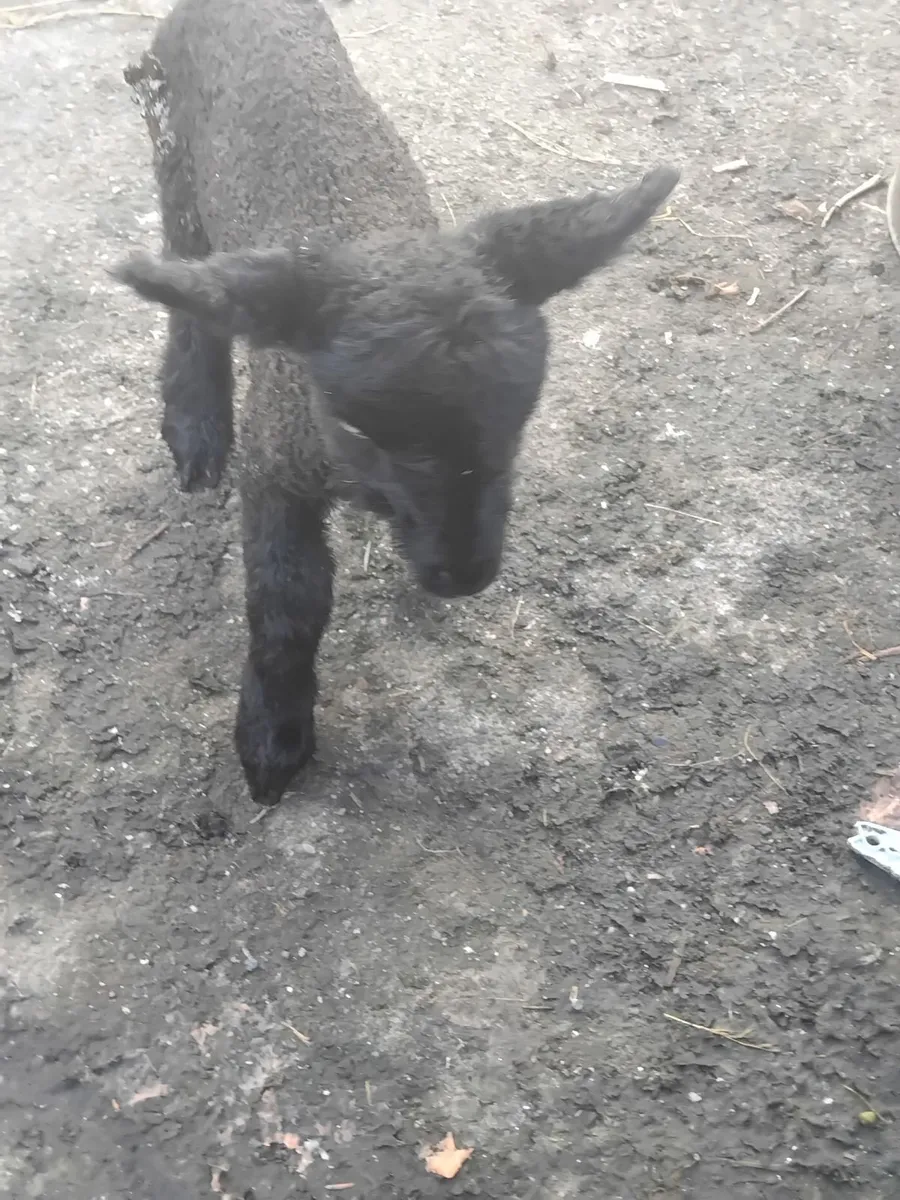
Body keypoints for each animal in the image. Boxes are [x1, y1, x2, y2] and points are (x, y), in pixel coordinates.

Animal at [112, 0, 679, 806]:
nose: (464, 576)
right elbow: (288, 601)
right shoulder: (275, 461)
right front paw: (272, 739)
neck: (366, 225)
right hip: (173, 156)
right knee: (189, 282)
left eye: (520, 423)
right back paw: (195, 425)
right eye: (355, 424)